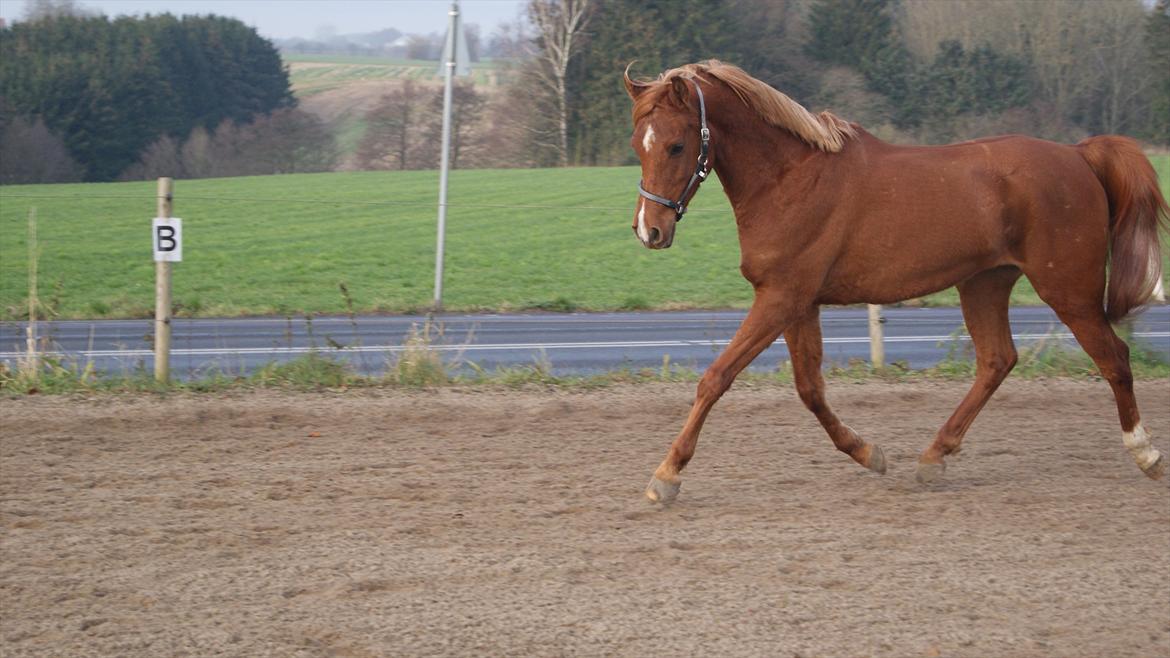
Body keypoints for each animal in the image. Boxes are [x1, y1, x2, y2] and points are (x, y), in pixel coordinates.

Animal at [627, 62, 1165, 501]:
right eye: (638, 145)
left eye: (676, 145)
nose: (650, 230)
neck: (789, 178)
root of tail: (1078, 155)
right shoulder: (799, 302)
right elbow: (810, 389)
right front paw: (869, 453)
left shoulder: (781, 298)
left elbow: (717, 378)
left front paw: (666, 476)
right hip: (984, 283)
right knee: (997, 360)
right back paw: (933, 457)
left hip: (1068, 290)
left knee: (1113, 357)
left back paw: (1145, 452)